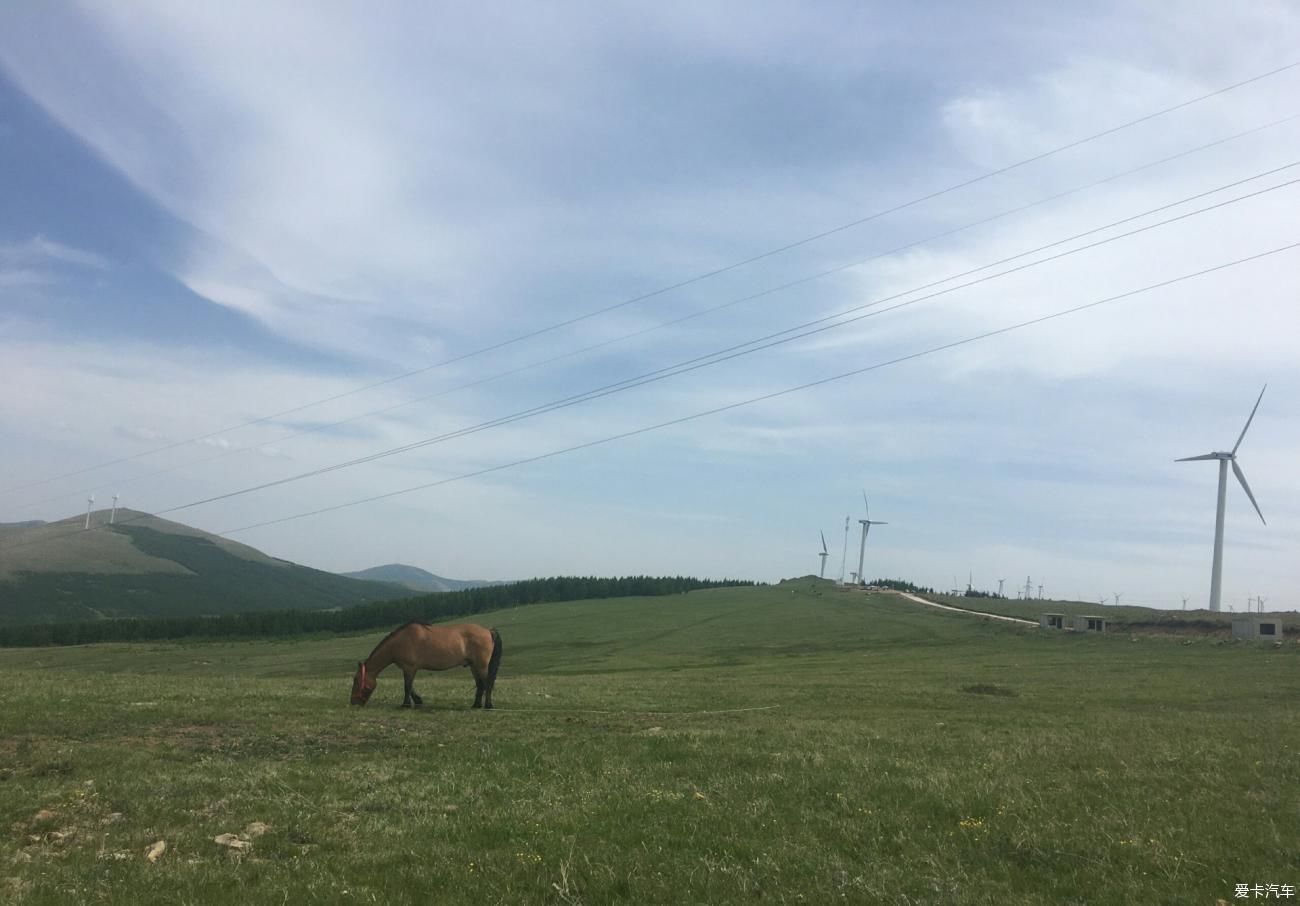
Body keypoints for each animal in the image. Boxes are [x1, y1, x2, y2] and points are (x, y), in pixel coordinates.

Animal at [351, 621, 501, 707]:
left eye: (356, 680)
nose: (353, 702)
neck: (399, 643)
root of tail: (488, 631)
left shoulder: (409, 668)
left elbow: (407, 686)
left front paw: (406, 704)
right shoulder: (408, 669)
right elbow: (410, 687)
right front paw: (418, 701)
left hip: (481, 666)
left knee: (487, 683)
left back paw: (488, 705)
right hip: (473, 666)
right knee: (480, 684)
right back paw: (476, 705)